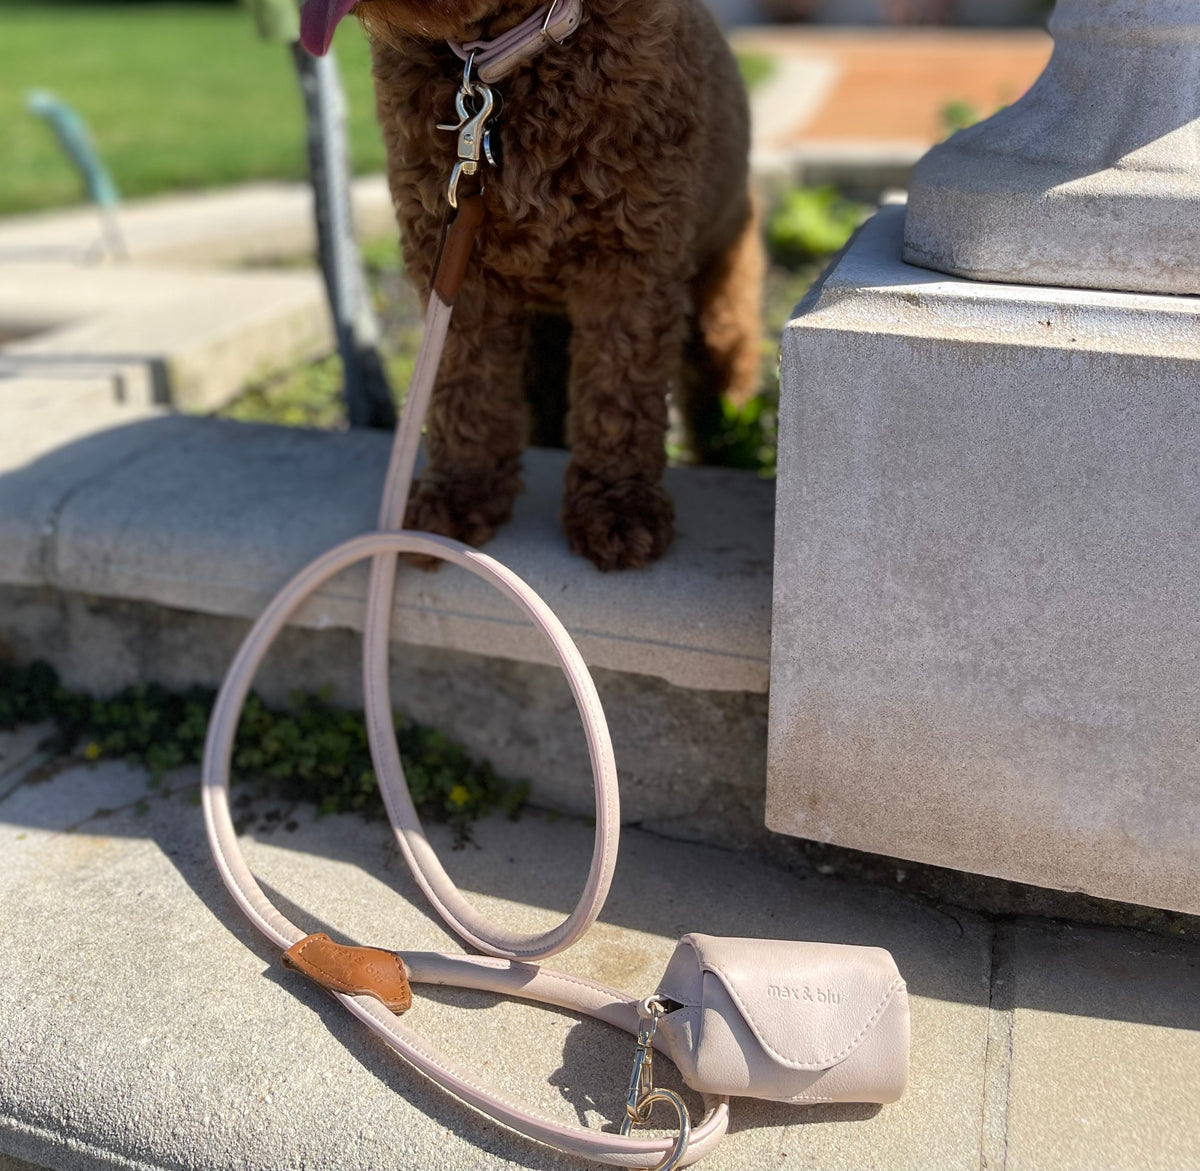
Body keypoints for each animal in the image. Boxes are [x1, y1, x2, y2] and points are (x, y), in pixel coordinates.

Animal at [309, 0, 763, 566]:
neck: (499, 59)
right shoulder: (455, 258)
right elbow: (465, 385)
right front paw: (459, 495)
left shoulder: (630, 260)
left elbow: (618, 391)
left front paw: (617, 507)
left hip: (718, 312)